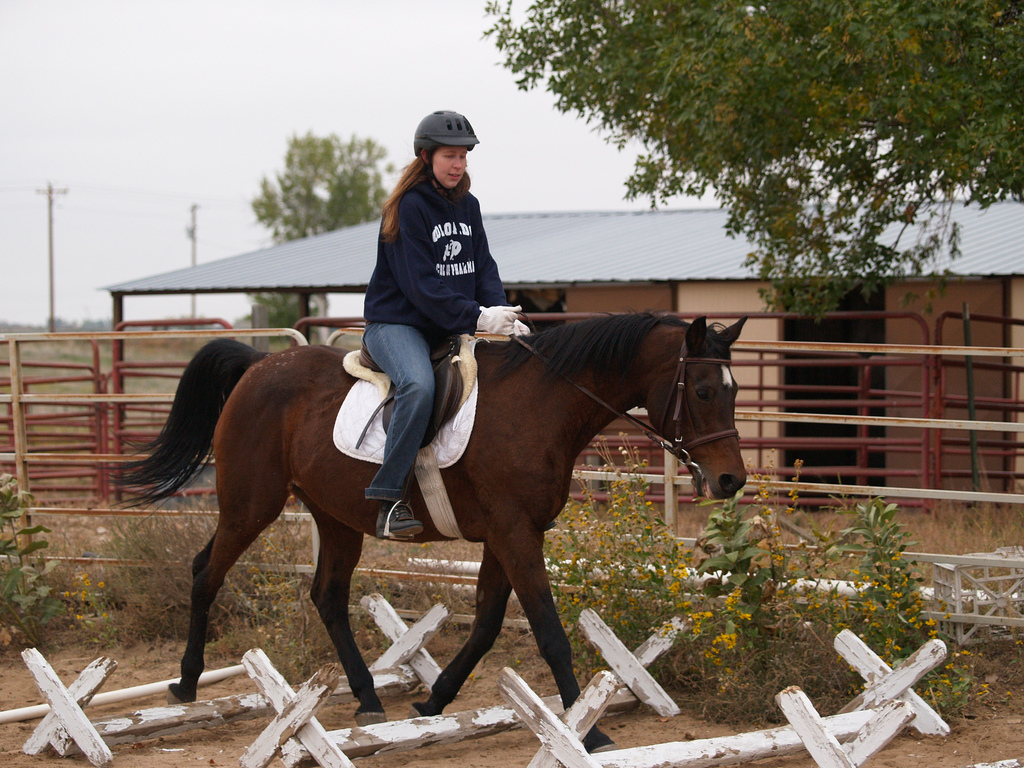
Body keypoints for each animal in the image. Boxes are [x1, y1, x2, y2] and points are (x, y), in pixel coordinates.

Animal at [117, 311, 745, 753]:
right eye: (703, 391)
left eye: (735, 390)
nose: (731, 479)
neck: (542, 404)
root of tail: (258, 365)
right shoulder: (515, 532)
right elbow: (548, 630)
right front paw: (585, 729)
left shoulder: (506, 534)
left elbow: (488, 623)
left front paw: (433, 702)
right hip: (252, 504)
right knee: (207, 571)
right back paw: (187, 683)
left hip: (336, 518)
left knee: (328, 596)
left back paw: (369, 697)